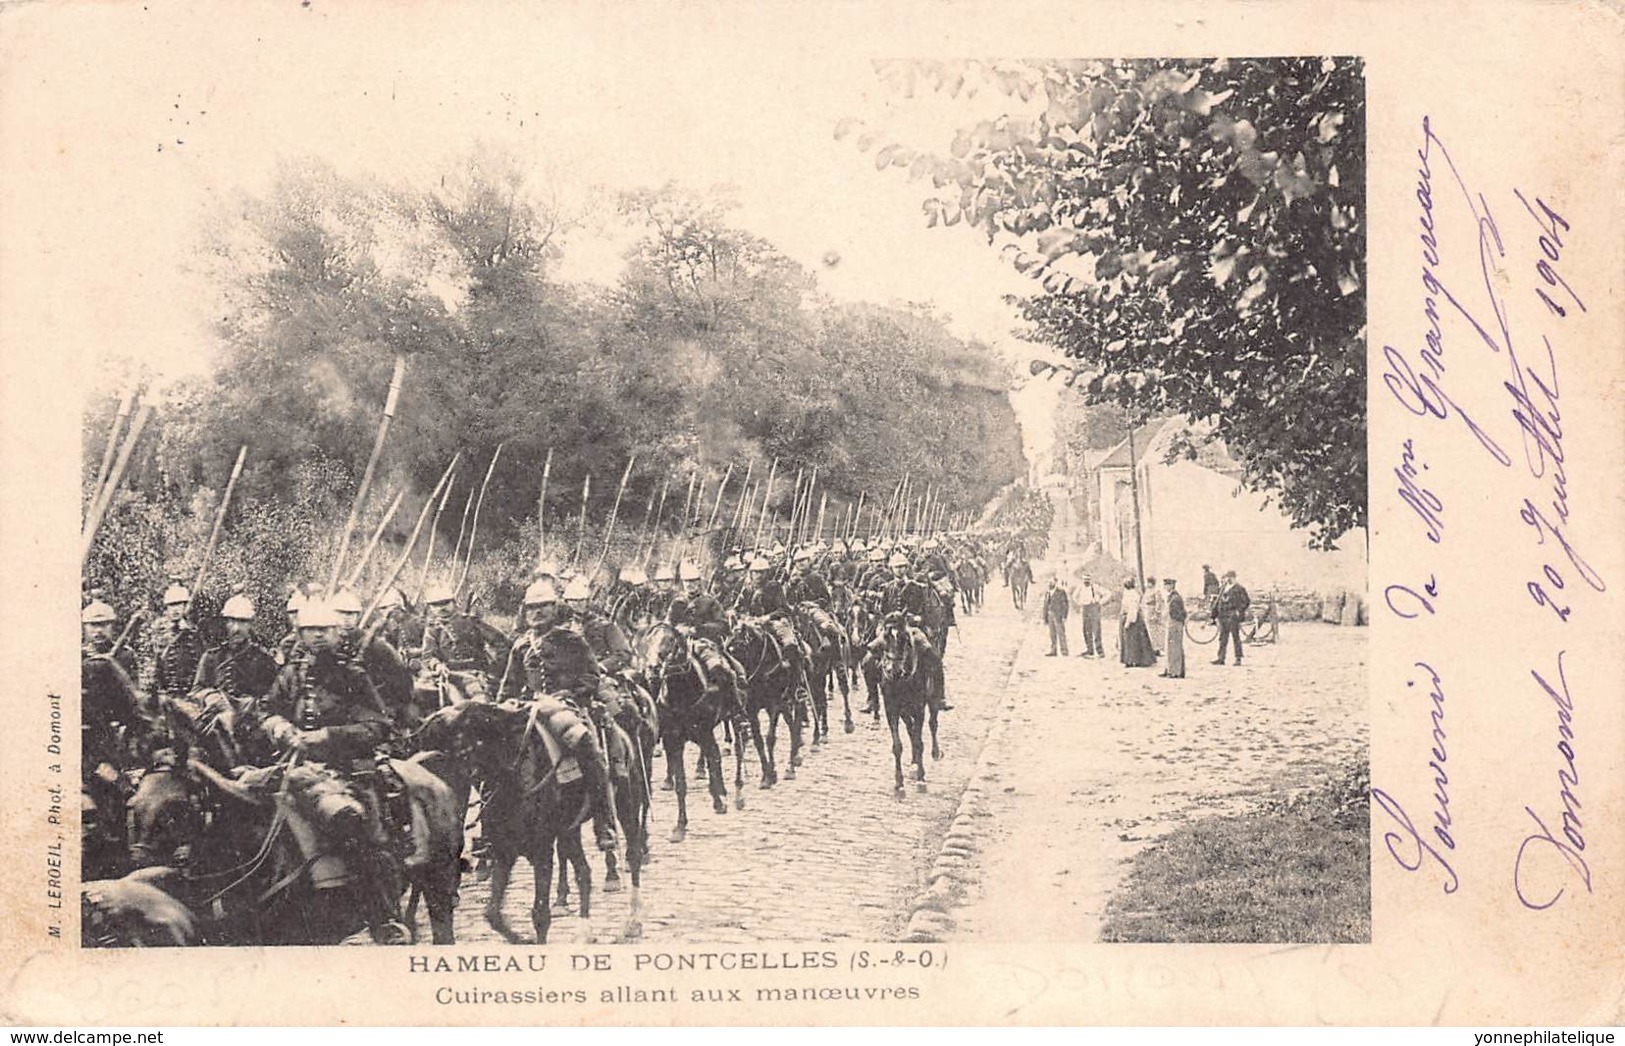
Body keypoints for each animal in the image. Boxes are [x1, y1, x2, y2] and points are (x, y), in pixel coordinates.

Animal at [637, 620, 734, 844]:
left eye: (671, 641)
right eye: (648, 642)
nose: (653, 669)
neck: (682, 693)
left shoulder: (704, 731)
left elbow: (714, 758)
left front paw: (719, 799)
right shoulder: (673, 738)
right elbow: (680, 783)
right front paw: (680, 827)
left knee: (714, 754)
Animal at [884, 613, 949, 792]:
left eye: (905, 639)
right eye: (885, 637)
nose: (893, 671)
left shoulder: (919, 709)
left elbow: (920, 742)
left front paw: (921, 777)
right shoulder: (891, 710)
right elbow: (897, 745)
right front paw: (899, 781)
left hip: (933, 699)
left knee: (932, 723)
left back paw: (935, 752)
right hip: (904, 711)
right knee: (911, 729)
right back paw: (914, 761)